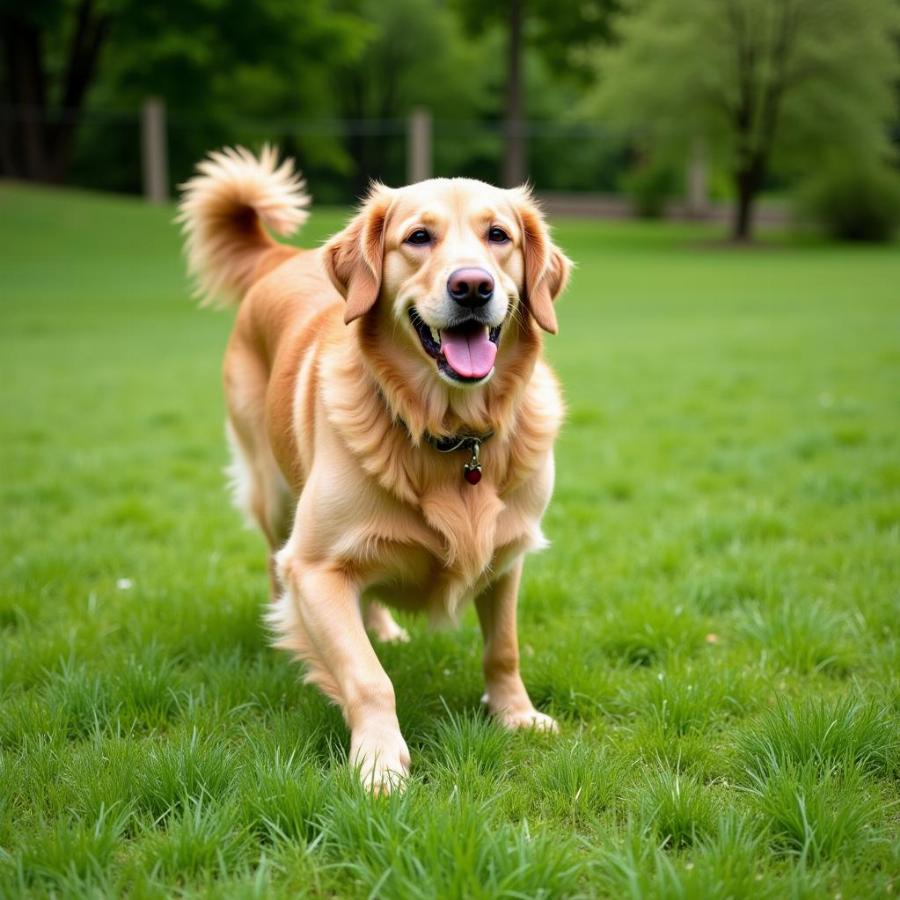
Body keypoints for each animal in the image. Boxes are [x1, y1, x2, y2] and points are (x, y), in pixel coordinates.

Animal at [179, 144, 572, 792]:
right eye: (418, 237)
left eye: (498, 235)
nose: (472, 286)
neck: (452, 435)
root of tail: (284, 257)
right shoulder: (314, 567)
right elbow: (366, 676)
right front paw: (380, 762)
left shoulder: (507, 553)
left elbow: (504, 648)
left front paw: (516, 715)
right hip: (275, 494)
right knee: (274, 561)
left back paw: (383, 625)